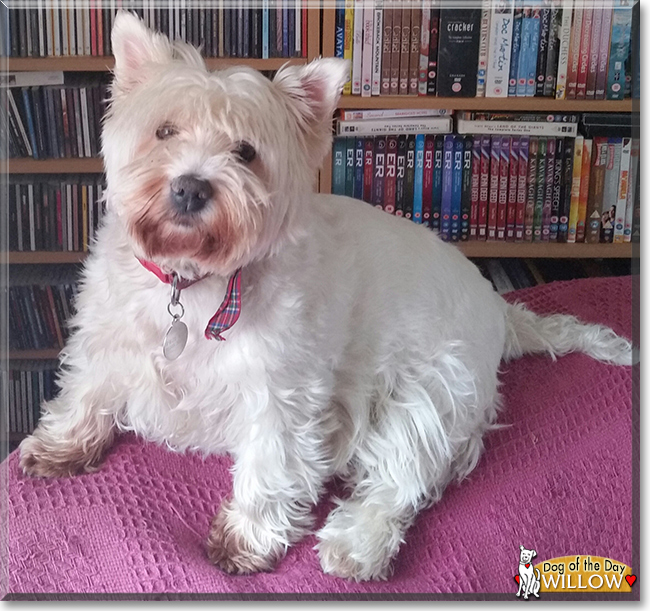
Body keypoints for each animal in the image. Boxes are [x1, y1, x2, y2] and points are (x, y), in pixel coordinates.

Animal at [17, 10, 632, 584]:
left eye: (246, 151)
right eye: (165, 131)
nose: (190, 188)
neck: (188, 282)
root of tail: (498, 307)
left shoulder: (280, 390)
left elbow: (270, 463)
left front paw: (246, 538)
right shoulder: (108, 337)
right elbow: (87, 388)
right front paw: (60, 445)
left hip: (427, 394)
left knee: (400, 480)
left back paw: (355, 545)